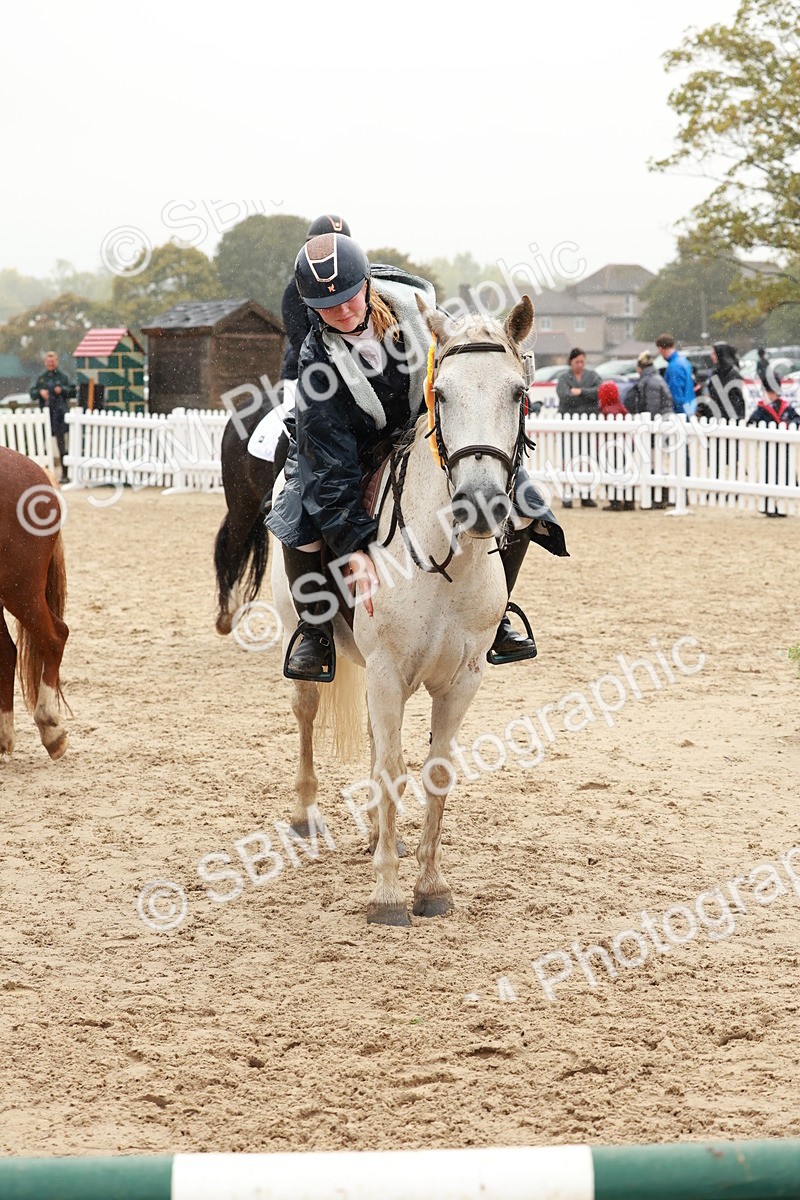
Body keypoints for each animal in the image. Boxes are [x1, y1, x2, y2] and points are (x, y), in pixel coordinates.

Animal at [270, 294, 535, 925]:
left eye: (517, 391)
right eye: (442, 394)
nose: (480, 504)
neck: (445, 561)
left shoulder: (460, 679)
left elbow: (436, 771)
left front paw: (430, 884)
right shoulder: (389, 671)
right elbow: (393, 770)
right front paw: (387, 893)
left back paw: (372, 831)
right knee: (307, 714)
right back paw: (306, 815)